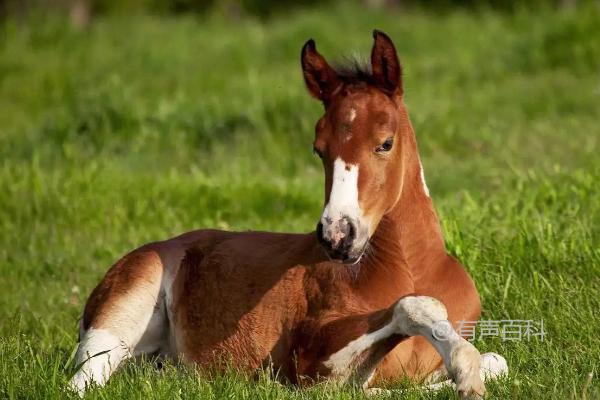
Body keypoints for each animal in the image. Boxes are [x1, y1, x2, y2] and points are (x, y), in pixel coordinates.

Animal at [69, 30, 506, 396]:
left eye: (385, 142)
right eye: (319, 149)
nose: (337, 235)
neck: (411, 268)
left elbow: (496, 361)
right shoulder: (310, 359)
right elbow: (410, 312)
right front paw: (465, 373)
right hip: (120, 313)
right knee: (81, 382)